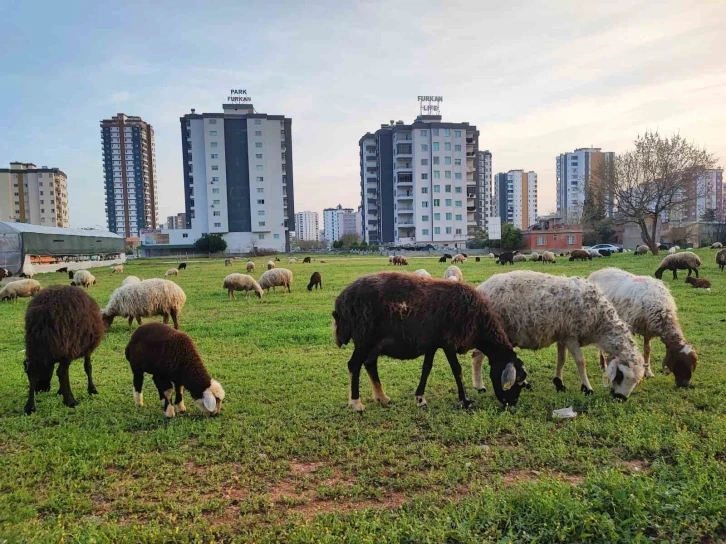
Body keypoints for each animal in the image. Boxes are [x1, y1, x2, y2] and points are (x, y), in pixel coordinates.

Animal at [23, 286, 106, 414]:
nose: (40, 390)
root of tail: (42, 312)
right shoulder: (87, 348)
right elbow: (88, 367)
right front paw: (92, 389)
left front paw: (60, 391)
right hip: (68, 345)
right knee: (62, 371)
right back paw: (71, 402)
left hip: (37, 346)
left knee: (32, 371)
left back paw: (30, 406)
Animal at [334, 274, 528, 410]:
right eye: (517, 379)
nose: (513, 403)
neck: (479, 323)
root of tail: (341, 301)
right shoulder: (448, 342)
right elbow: (457, 370)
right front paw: (465, 401)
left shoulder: (433, 343)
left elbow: (426, 369)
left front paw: (420, 399)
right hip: (364, 338)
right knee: (354, 365)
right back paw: (356, 403)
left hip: (375, 342)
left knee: (370, 364)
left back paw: (382, 398)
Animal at [478, 270, 648, 402]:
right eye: (620, 376)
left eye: (636, 382)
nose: (621, 398)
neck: (599, 322)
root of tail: (482, 287)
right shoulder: (571, 336)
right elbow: (581, 362)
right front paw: (587, 388)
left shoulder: (562, 335)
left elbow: (562, 359)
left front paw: (559, 382)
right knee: (477, 358)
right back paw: (479, 386)